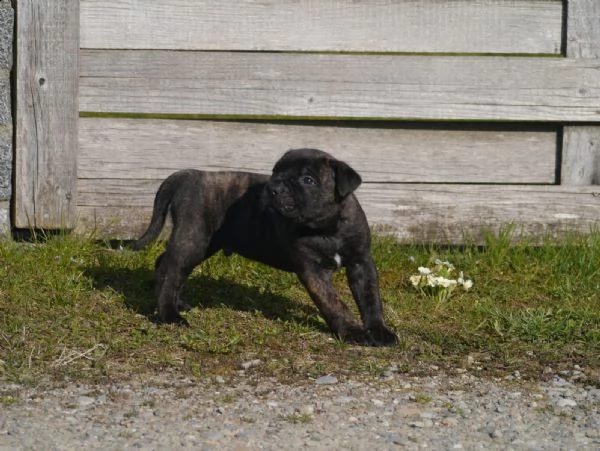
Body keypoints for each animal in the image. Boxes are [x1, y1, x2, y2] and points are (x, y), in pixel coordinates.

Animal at [135, 148, 398, 346]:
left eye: (308, 180)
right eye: (275, 172)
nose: (274, 188)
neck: (327, 228)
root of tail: (187, 175)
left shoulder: (361, 263)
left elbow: (370, 299)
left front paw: (379, 331)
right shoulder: (313, 271)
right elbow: (334, 303)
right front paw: (352, 331)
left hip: (203, 244)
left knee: (168, 265)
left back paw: (175, 303)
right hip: (193, 239)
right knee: (171, 270)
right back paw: (169, 315)